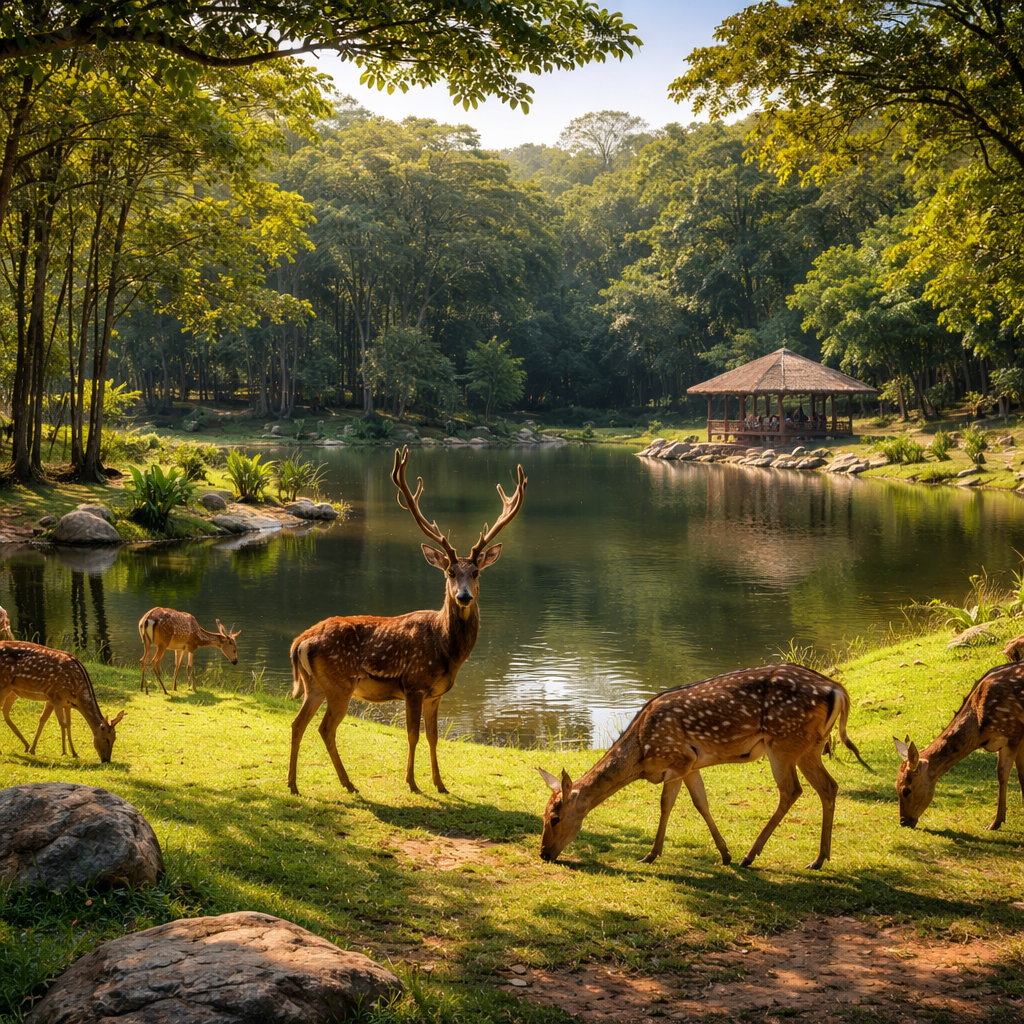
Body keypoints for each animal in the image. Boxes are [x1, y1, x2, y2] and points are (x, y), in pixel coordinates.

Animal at [287, 446, 526, 796]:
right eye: (449, 572)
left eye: (476, 572)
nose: (464, 597)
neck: (447, 651)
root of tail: (300, 642)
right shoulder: (414, 683)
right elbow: (412, 735)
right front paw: (412, 782)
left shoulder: (436, 693)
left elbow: (434, 737)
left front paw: (441, 784)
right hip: (340, 683)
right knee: (325, 728)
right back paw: (347, 783)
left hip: (314, 685)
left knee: (297, 723)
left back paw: (294, 784)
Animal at [538, 664, 868, 870]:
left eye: (555, 818)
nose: (543, 853)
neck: (642, 752)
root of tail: (839, 690)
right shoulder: (690, 764)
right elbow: (698, 803)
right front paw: (722, 854)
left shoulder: (677, 757)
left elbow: (668, 804)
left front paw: (651, 855)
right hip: (810, 747)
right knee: (829, 787)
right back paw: (819, 859)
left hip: (784, 743)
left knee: (792, 791)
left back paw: (751, 856)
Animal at [894, 662, 1024, 830]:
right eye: (896, 786)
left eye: (906, 790)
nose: (903, 821)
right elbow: (1014, 774)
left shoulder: (1013, 731)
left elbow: (1005, 773)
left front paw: (996, 823)